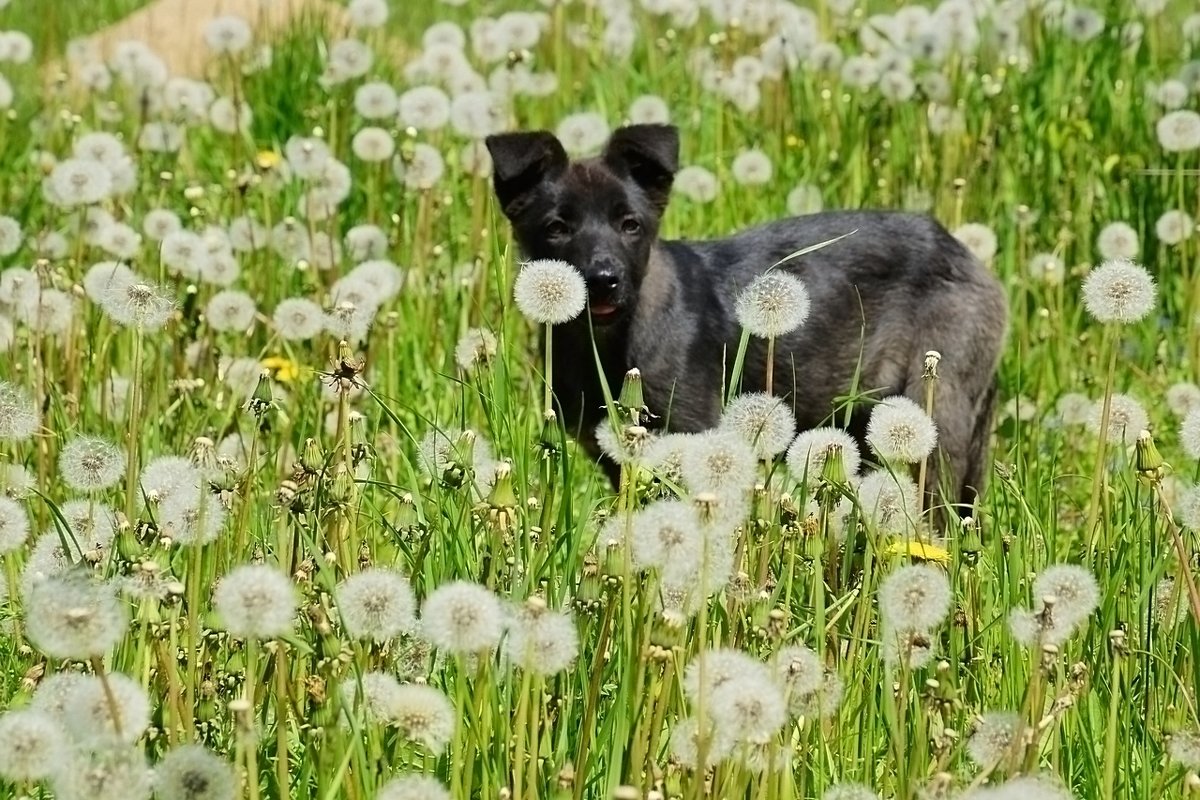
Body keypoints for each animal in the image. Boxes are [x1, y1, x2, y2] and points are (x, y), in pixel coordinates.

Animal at [482, 125, 1008, 513]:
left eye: (630, 225)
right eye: (556, 228)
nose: (604, 280)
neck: (607, 344)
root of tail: (967, 256)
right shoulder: (619, 458)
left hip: (934, 413)